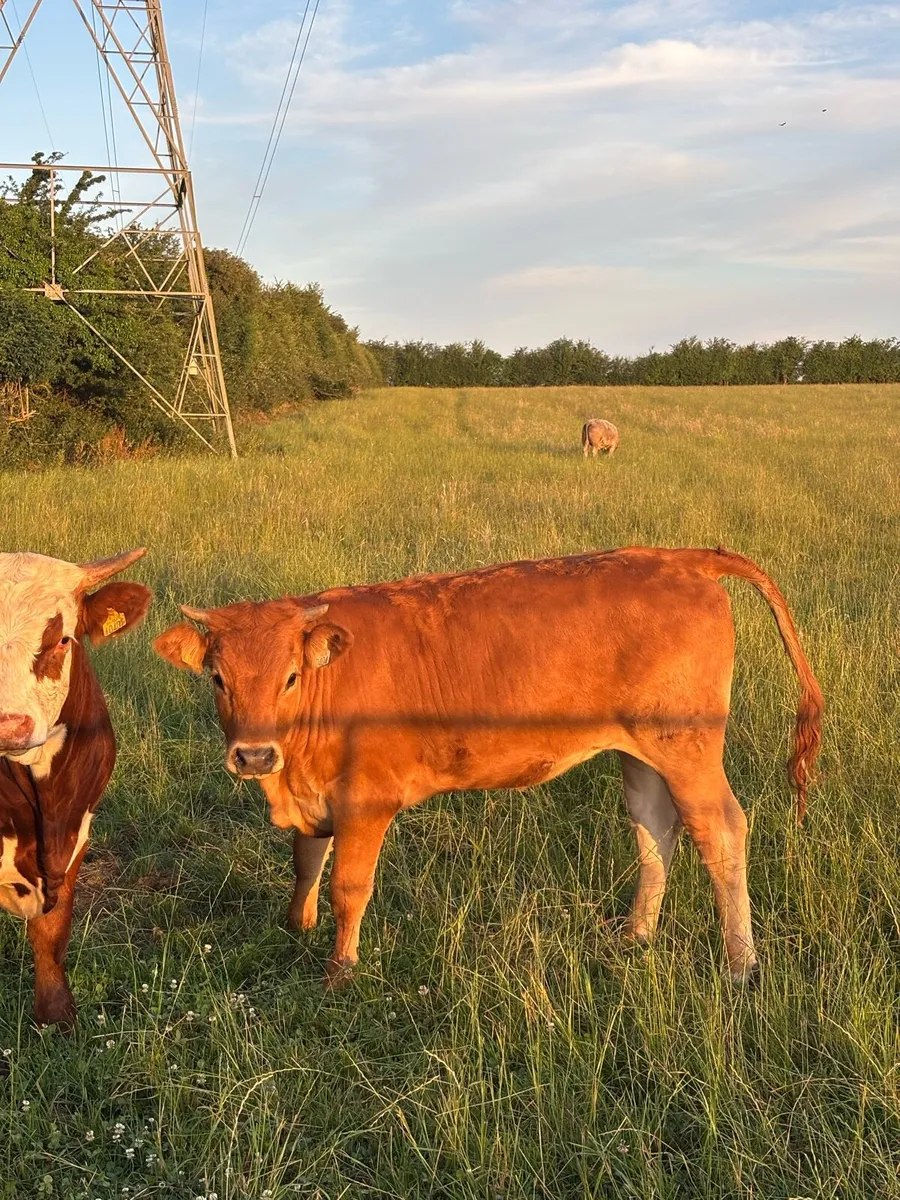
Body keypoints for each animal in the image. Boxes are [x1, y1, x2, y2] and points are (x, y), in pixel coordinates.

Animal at [154, 547, 822, 988]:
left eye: (290, 677)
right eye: (218, 678)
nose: (254, 754)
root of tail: (682, 558)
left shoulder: (366, 800)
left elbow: (349, 885)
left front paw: (340, 969)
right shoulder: (312, 797)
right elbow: (305, 863)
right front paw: (295, 928)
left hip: (688, 747)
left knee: (721, 830)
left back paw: (742, 966)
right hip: (641, 752)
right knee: (656, 830)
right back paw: (637, 935)